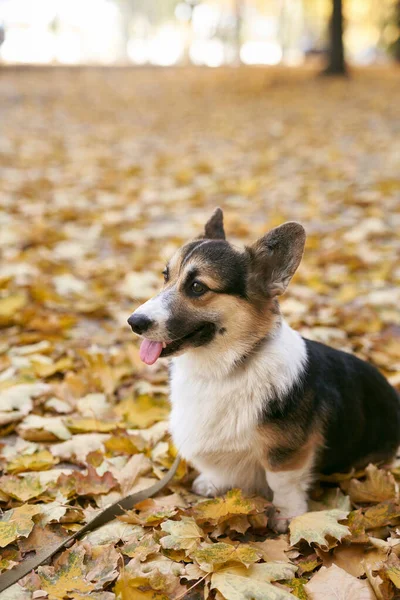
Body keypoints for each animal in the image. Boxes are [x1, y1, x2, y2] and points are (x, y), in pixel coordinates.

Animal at [129, 209, 400, 532]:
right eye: (165, 276)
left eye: (197, 287)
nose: (134, 322)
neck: (226, 368)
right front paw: (212, 483)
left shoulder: (286, 453)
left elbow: (282, 481)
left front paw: (287, 515)